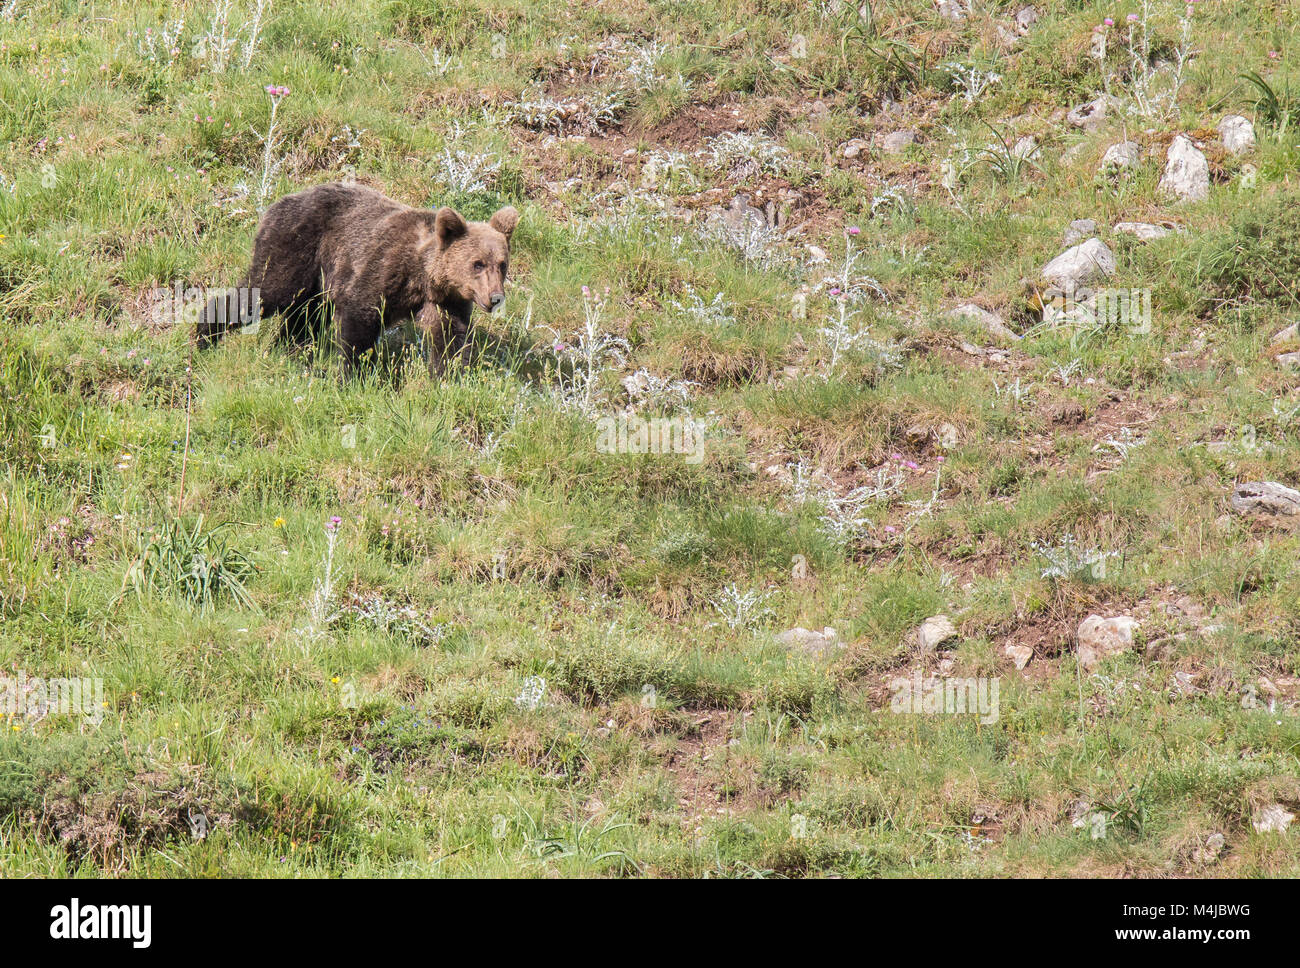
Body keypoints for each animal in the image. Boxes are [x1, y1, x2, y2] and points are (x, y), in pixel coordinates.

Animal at [197, 180, 517, 369]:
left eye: (502, 264)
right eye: (477, 263)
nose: (495, 298)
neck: (422, 275)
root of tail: (276, 203)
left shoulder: (445, 300)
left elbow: (449, 339)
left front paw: (447, 375)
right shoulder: (380, 268)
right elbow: (359, 321)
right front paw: (353, 372)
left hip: (316, 280)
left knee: (305, 317)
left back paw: (292, 351)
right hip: (296, 248)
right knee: (264, 292)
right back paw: (204, 335)